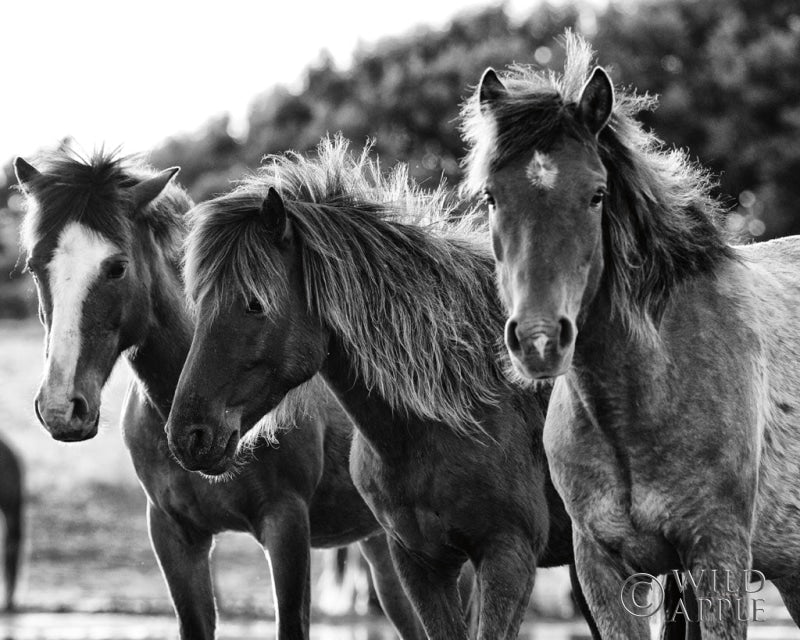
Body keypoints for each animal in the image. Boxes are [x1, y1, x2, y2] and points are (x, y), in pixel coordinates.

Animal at [13, 150, 424, 640]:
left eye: (116, 267)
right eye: (35, 266)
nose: (61, 408)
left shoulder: (286, 526)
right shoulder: (174, 535)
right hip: (384, 550)